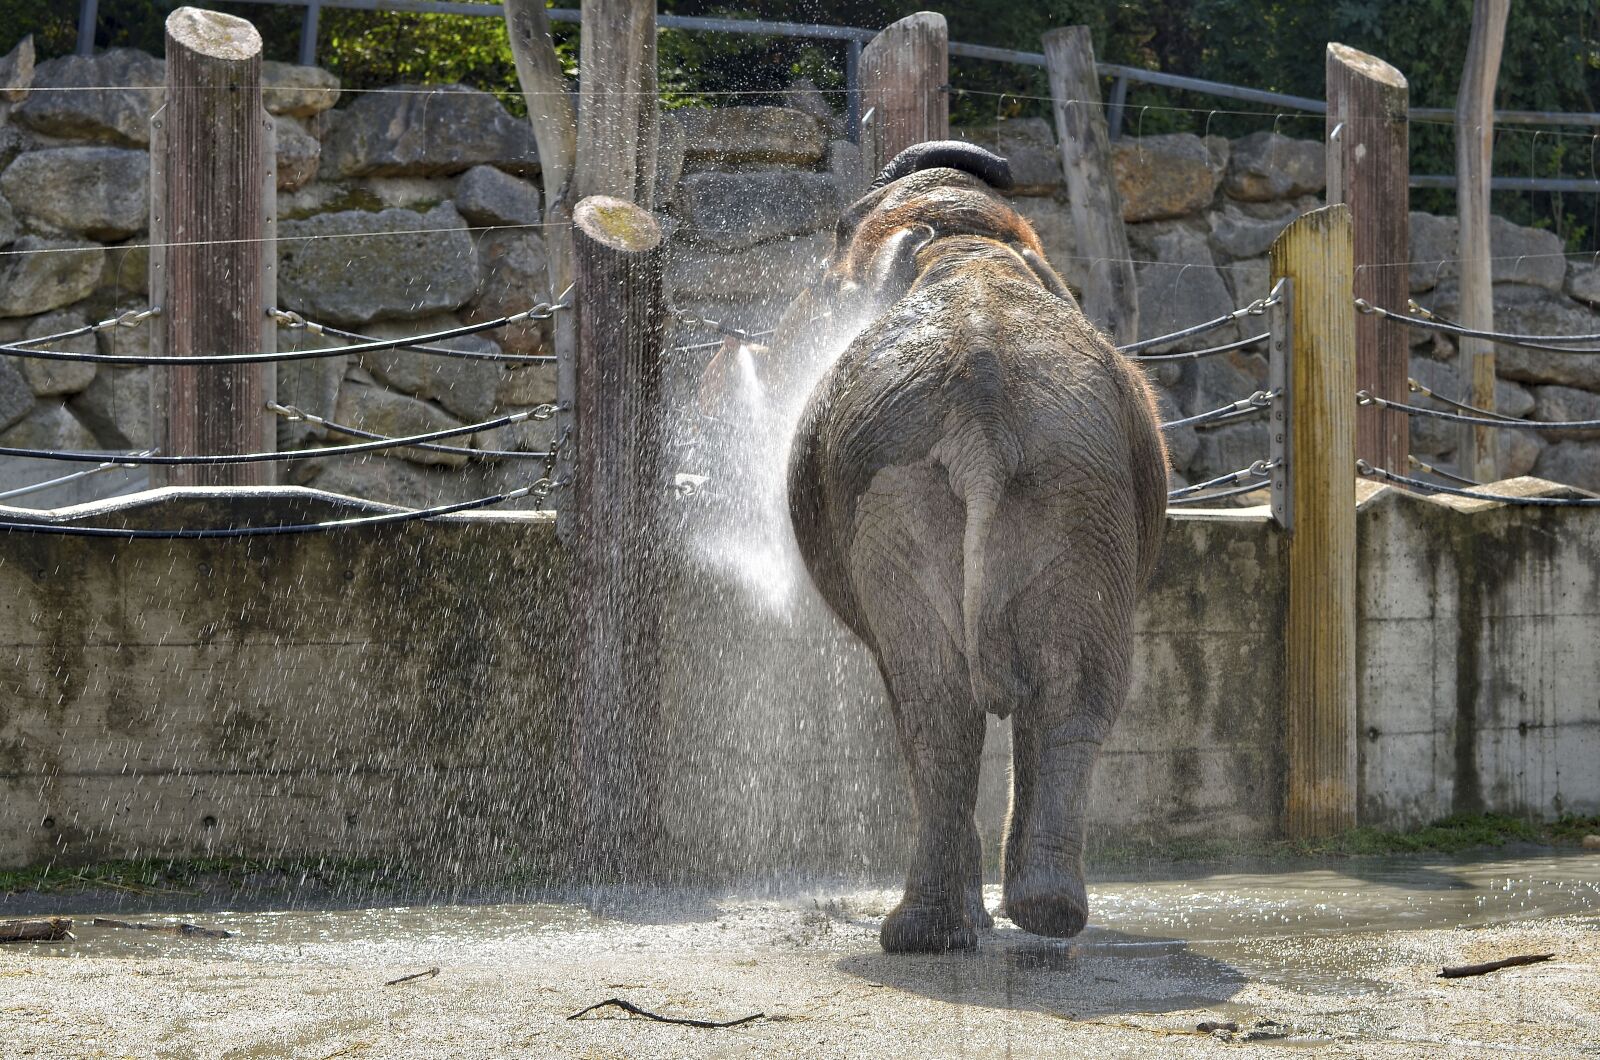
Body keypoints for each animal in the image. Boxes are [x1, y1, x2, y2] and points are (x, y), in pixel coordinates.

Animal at [781, 141, 1169, 953]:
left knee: (934, 702)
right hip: (1077, 489)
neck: (964, 242)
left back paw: (934, 932)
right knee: (1063, 690)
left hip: (911, 494)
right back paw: (1036, 914)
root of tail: (980, 421)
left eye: (835, 241)